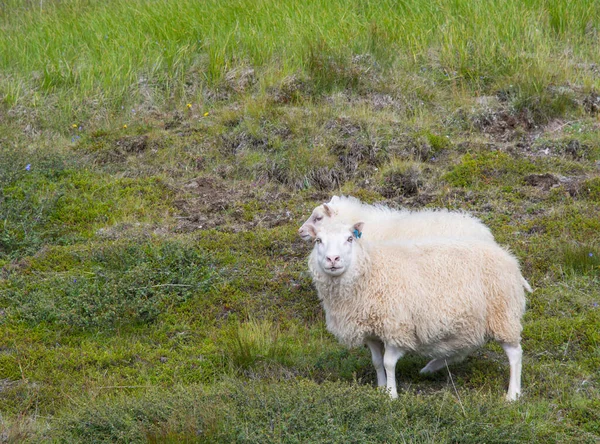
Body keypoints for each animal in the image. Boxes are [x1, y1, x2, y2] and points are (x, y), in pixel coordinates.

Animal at [308, 222, 528, 402]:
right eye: (318, 240)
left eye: (349, 238)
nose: (332, 258)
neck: (370, 269)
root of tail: (509, 258)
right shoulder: (370, 330)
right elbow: (377, 362)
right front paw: (380, 389)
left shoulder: (396, 326)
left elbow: (388, 363)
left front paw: (391, 394)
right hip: (474, 320)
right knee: (466, 347)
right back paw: (431, 367)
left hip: (502, 314)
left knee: (515, 354)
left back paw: (513, 394)